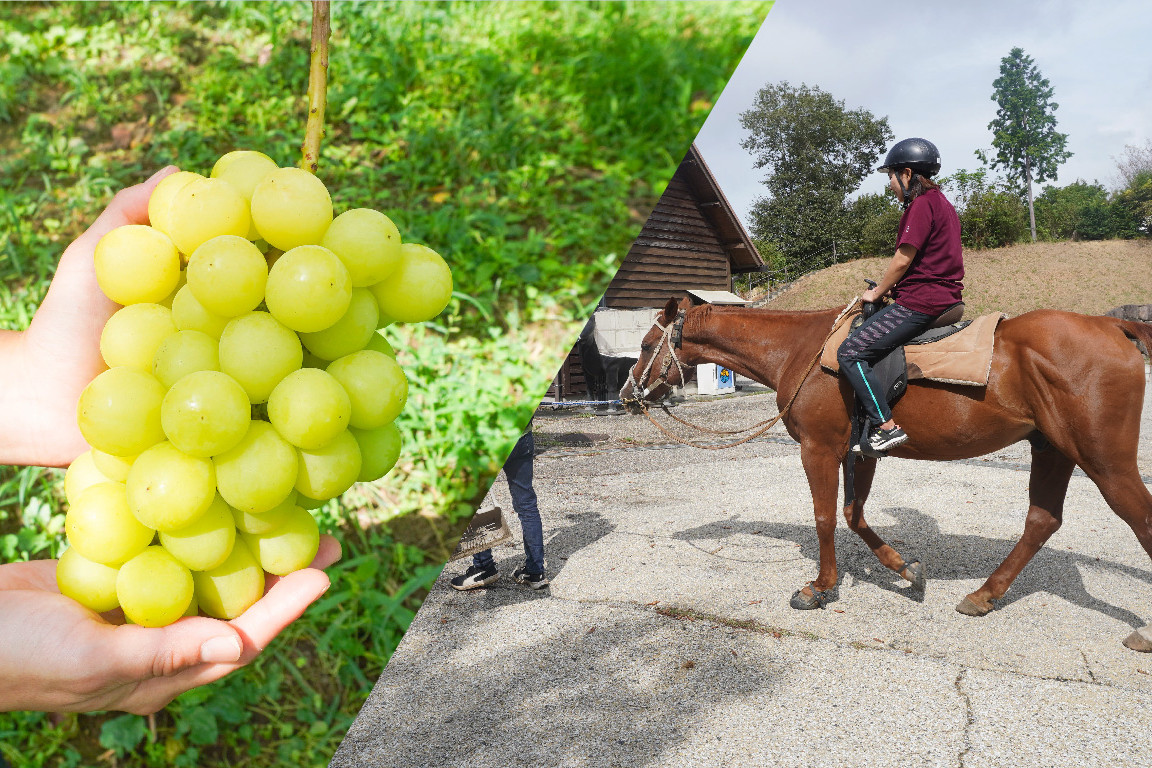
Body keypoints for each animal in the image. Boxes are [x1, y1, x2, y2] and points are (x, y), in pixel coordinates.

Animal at [622, 297, 1152, 654]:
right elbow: (854, 515)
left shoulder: (819, 450)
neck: (802, 350)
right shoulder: (861, 453)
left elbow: (824, 517)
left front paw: (820, 588)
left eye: (647, 344)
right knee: (1042, 520)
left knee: (1138, 518)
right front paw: (906, 570)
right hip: (1053, 450)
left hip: (1105, 461)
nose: (628, 395)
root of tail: (1115, 323)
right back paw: (983, 595)